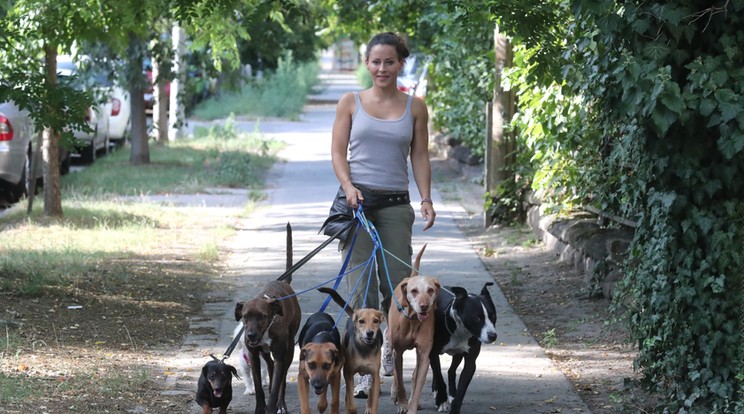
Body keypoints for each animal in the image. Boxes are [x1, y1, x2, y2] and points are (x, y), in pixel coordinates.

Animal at [234, 278, 300, 414]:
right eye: (245, 316)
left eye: (262, 316)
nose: (251, 335)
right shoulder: (253, 356)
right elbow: (258, 387)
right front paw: (260, 408)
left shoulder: (280, 357)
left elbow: (276, 387)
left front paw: (272, 407)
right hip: (264, 352)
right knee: (270, 364)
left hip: (289, 349)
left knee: (282, 377)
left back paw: (281, 404)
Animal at [316, 286, 384, 414]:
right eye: (361, 321)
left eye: (376, 321)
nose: (370, 333)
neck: (364, 349)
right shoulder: (348, 373)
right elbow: (350, 400)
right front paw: (350, 409)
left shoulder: (375, 375)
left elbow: (374, 399)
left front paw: (371, 408)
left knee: (370, 393)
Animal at [386, 244, 438, 412]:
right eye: (414, 291)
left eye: (430, 290)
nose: (424, 306)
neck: (413, 321)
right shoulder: (398, 353)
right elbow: (400, 381)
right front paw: (402, 403)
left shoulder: (424, 355)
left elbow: (417, 383)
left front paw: (412, 406)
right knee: (396, 376)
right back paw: (394, 392)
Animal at [428, 284, 496, 412]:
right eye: (477, 318)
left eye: (493, 315)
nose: (493, 335)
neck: (460, 330)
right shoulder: (432, 353)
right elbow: (439, 376)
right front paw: (442, 400)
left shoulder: (470, 362)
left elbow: (462, 389)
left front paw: (454, 405)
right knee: (436, 371)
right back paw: (436, 391)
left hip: (458, 354)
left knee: (451, 371)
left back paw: (451, 394)